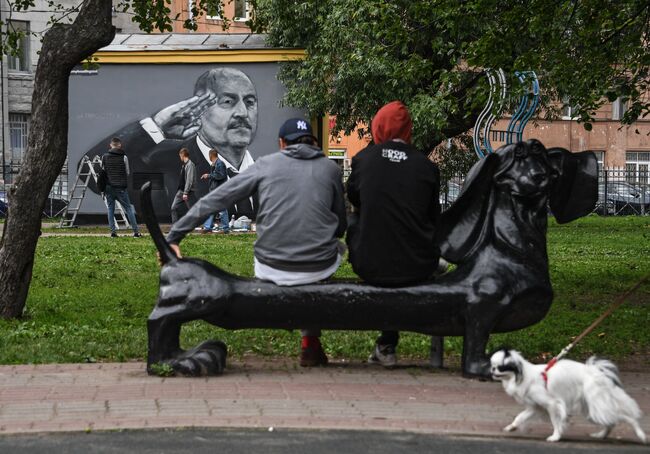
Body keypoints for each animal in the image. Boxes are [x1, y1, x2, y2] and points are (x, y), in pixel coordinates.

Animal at [492, 350, 644, 442]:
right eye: (493, 366)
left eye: (501, 367)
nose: (492, 370)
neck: (522, 376)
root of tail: (596, 372)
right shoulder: (535, 407)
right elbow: (519, 417)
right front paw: (511, 427)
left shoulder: (552, 404)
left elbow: (556, 422)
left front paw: (555, 437)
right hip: (591, 411)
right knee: (611, 422)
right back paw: (601, 435)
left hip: (597, 408)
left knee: (626, 417)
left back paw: (641, 435)